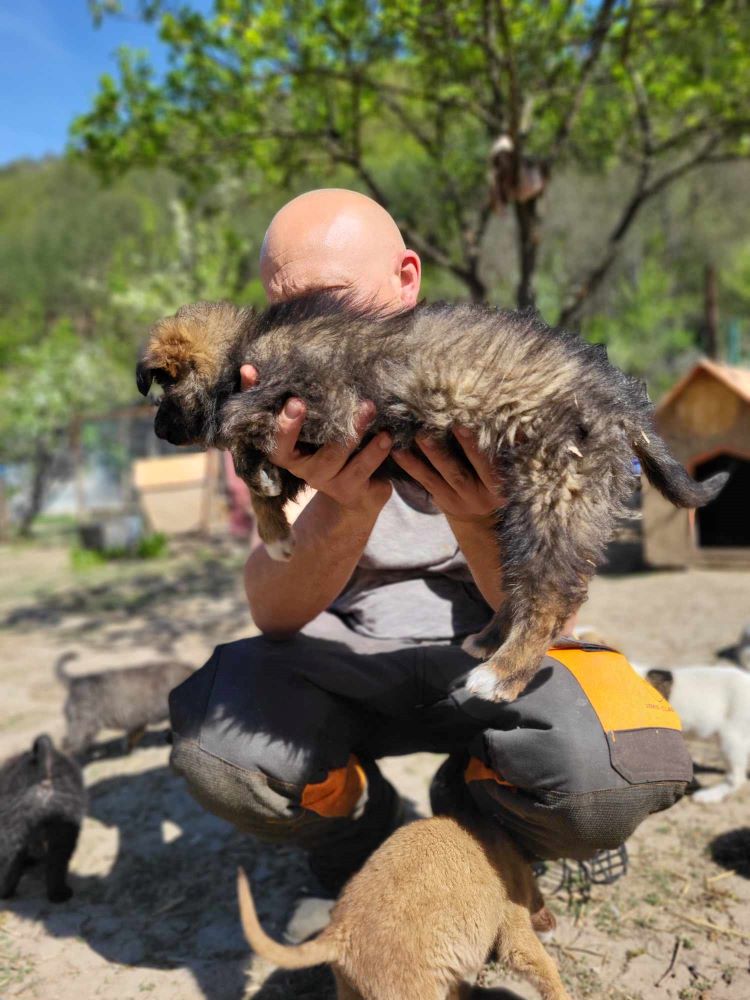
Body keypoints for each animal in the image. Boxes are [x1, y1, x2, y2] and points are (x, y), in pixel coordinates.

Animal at [0, 732, 85, 904]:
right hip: (64, 828)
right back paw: (59, 894)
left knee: (8, 866)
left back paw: (4, 893)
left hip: (11, 833)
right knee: (57, 864)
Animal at [137, 294, 728, 704]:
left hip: (552, 490)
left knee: (550, 598)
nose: (159, 432)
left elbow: (240, 424)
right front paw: (276, 528)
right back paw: (488, 640)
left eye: (163, 395)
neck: (242, 348)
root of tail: (625, 406)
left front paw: (259, 483)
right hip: (522, 501)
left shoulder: (320, 399)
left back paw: (502, 674)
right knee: (522, 584)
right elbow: (259, 459)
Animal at [238, 816, 572, 996]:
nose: (553, 922)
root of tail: (338, 933)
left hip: (350, 990)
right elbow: (546, 971)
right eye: (541, 901)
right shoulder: (515, 931)